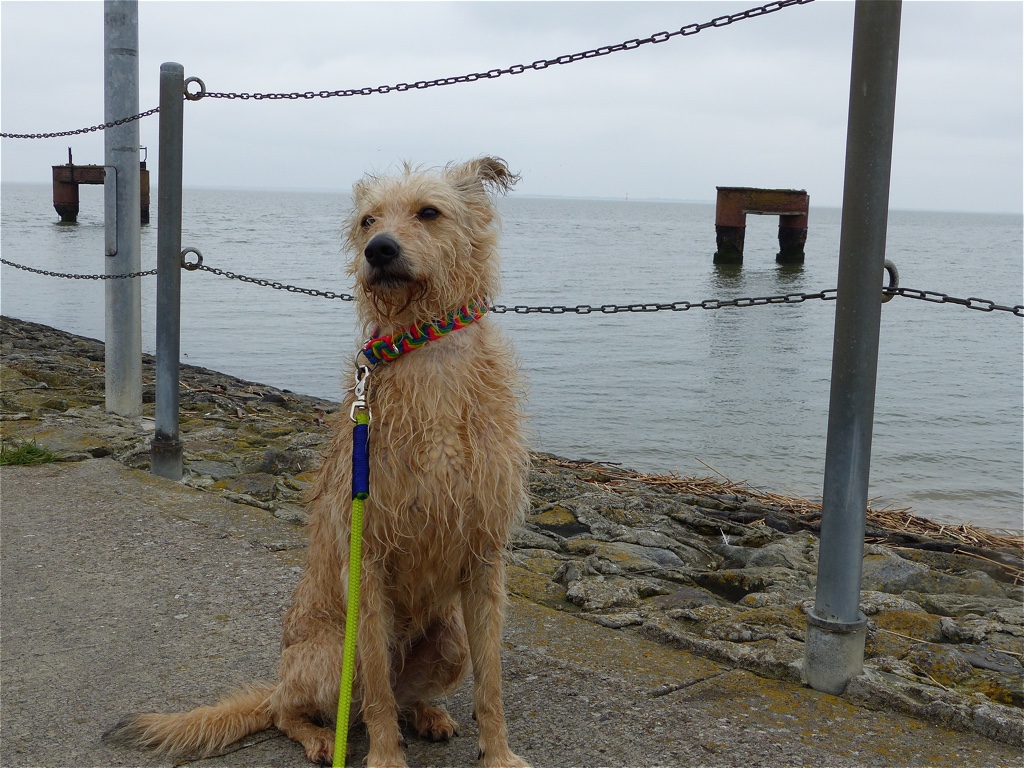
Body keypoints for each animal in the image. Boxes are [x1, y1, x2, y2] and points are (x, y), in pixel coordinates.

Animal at [106, 157, 531, 768]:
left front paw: (497, 755)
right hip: (330, 654)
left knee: (405, 694)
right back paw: (320, 737)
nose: (378, 249)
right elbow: (376, 692)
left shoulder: (484, 556)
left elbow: (490, 683)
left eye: (429, 211)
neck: (429, 354)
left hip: (448, 640)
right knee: (303, 708)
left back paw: (427, 712)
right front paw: (385, 760)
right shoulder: (369, 560)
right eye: (368, 219)